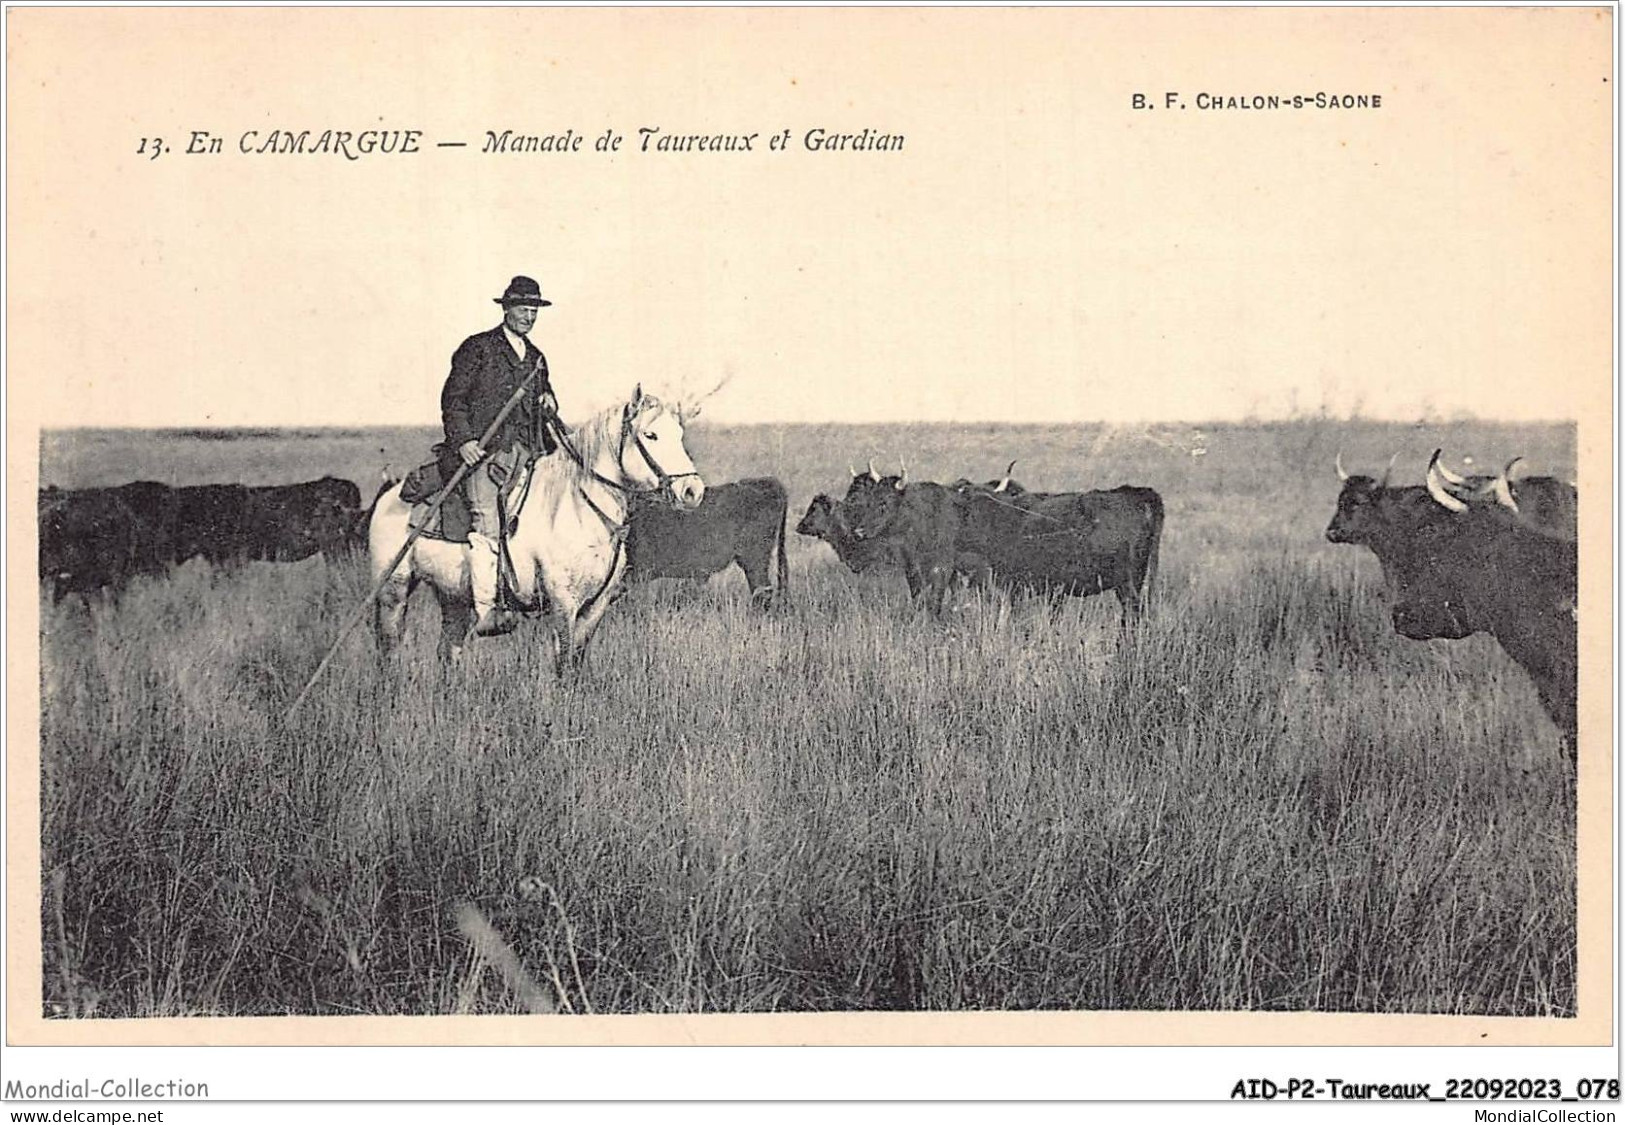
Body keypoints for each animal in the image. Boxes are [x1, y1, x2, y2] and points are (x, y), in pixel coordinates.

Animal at [373, 385, 705, 666]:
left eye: (678, 434)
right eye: (650, 435)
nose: (693, 491)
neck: (577, 508)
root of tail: (391, 494)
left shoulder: (594, 608)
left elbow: (574, 666)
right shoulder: (563, 604)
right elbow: (563, 665)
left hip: (452, 595)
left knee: (447, 652)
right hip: (393, 590)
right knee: (389, 653)